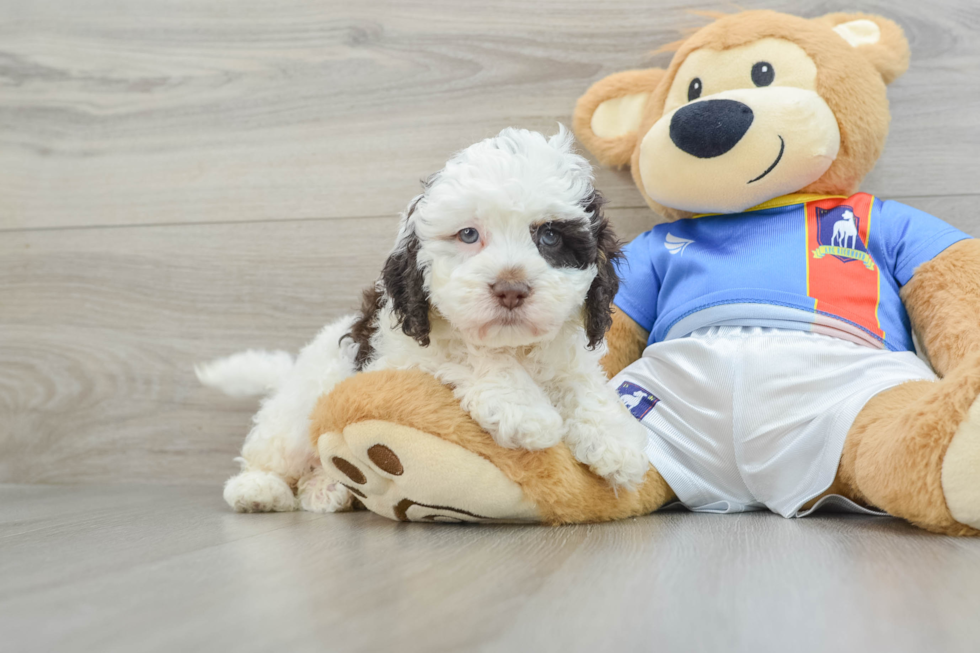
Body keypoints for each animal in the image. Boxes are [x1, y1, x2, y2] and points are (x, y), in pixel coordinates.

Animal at [199, 129, 652, 516]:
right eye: (468, 235)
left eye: (551, 237)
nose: (510, 289)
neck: (512, 344)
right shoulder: (399, 355)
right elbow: (466, 354)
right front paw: (524, 409)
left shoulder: (568, 354)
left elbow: (583, 385)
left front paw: (616, 440)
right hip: (298, 412)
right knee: (271, 453)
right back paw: (259, 490)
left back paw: (324, 489)